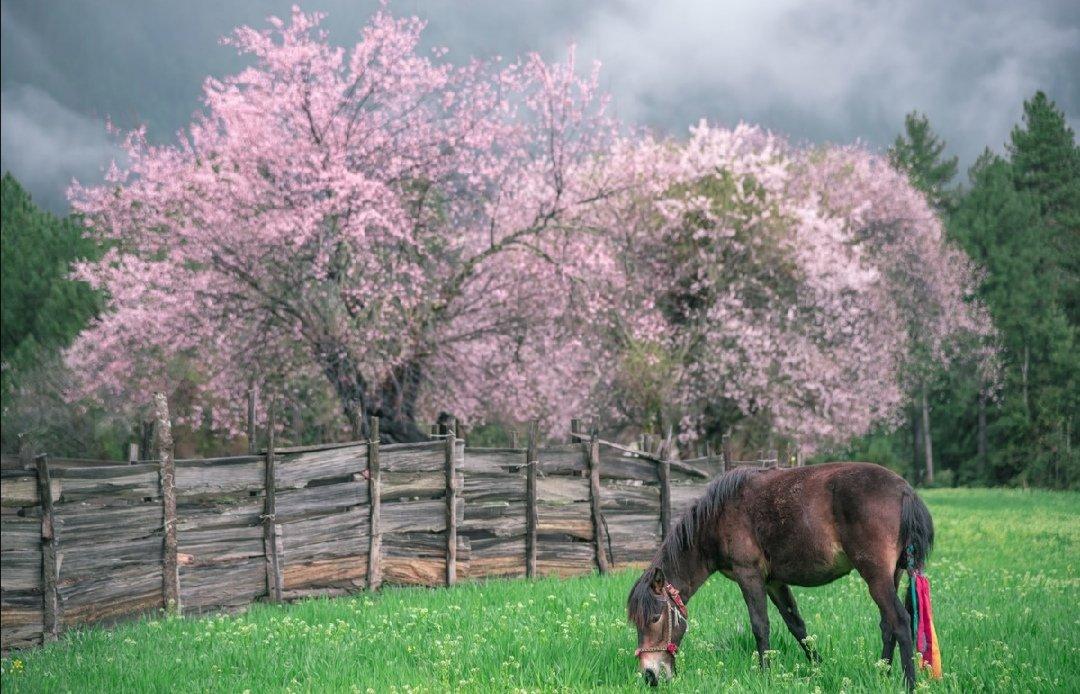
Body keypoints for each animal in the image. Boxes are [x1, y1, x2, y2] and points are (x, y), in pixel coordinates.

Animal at [630, 461, 933, 690]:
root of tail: (905, 491)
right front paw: (818, 668)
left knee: (899, 620)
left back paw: (908, 684)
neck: (718, 516)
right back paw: (883, 674)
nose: (649, 676)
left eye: (655, 618)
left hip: (876, 575)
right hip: (891, 575)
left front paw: (765, 675)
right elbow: (797, 626)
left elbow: (760, 626)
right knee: (887, 625)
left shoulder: (749, 575)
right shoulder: (774, 581)